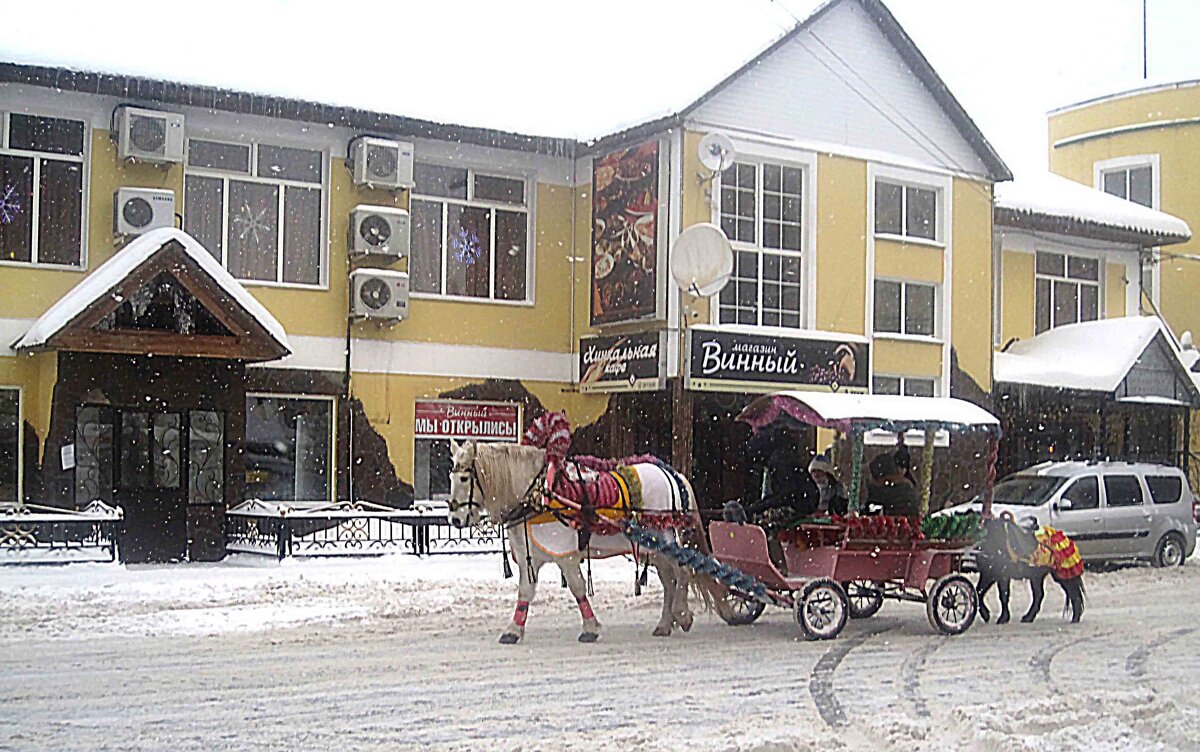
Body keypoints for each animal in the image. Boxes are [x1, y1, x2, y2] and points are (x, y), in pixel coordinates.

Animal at [448, 441, 720, 647]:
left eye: (463, 478)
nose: (454, 519)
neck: (541, 495)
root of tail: (671, 473)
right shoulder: (530, 558)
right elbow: (525, 592)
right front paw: (514, 629)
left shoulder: (565, 556)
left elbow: (578, 588)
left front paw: (590, 627)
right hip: (654, 549)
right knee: (669, 580)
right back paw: (665, 623)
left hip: (663, 538)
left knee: (683, 571)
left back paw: (681, 613)